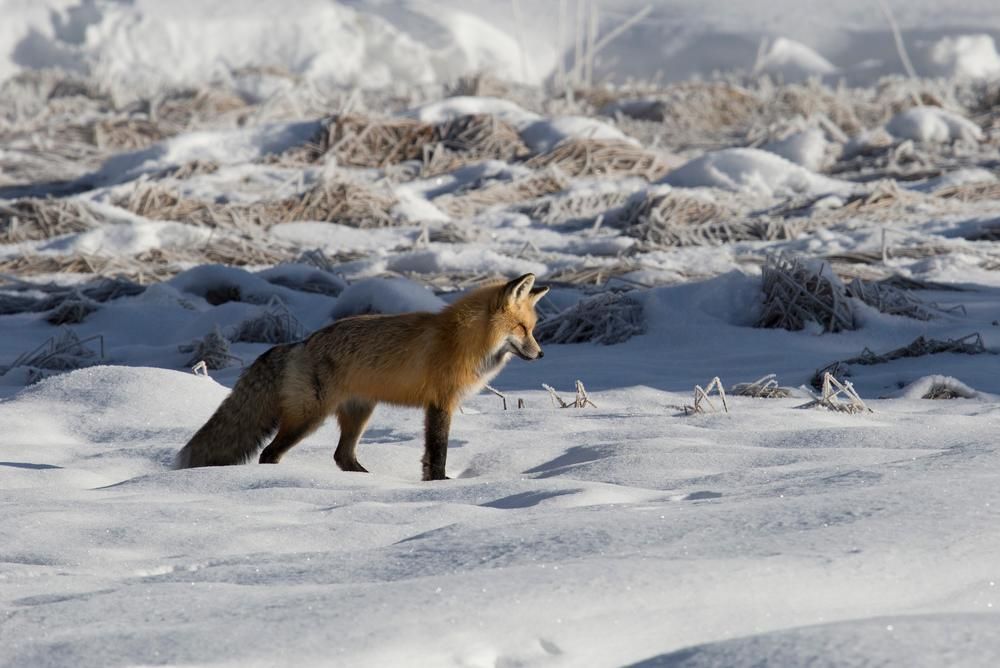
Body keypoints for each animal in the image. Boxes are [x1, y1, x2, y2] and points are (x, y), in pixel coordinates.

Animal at [172, 272, 548, 480]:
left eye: (532, 329)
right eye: (522, 329)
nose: (542, 355)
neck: (461, 340)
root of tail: (300, 343)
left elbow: (431, 455)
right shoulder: (441, 403)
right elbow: (437, 452)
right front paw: (440, 485)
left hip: (359, 413)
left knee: (342, 456)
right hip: (309, 417)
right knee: (270, 453)